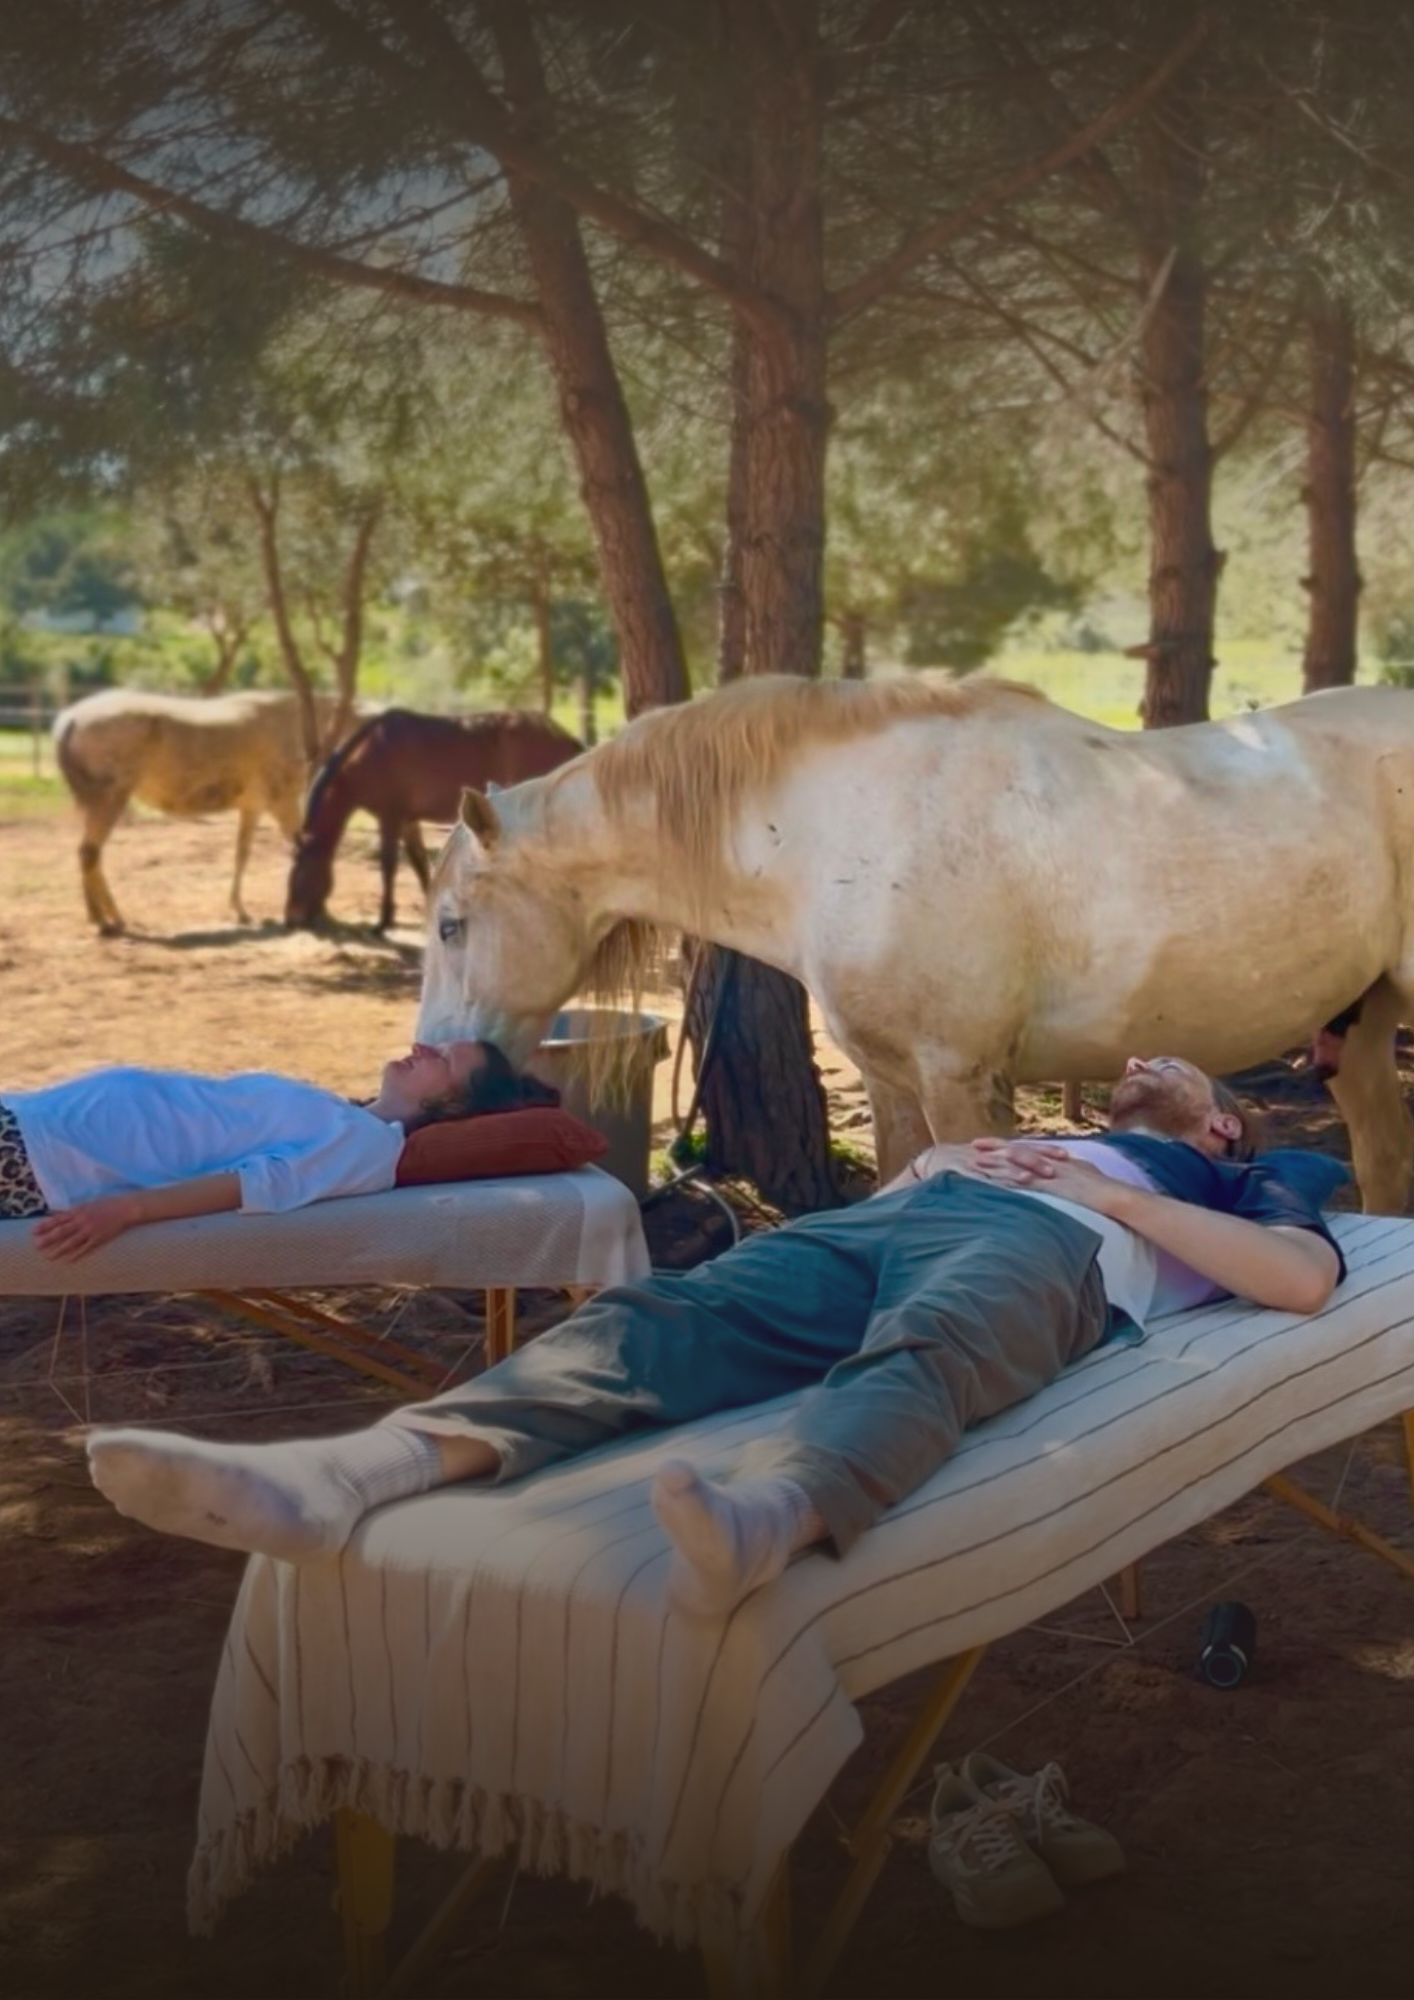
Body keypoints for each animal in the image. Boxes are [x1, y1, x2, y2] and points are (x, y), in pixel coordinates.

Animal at [53, 687, 352, 933]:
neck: (297, 720)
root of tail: (71, 719)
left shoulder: (252, 807)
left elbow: (241, 855)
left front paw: (240, 911)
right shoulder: (284, 804)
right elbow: (299, 849)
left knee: (91, 855)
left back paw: (105, 918)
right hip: (110, 798)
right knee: (89, 853)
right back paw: (107, 920)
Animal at [284, 707, 584, 932]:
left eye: (299, 874)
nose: (291, 920)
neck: (371, 753)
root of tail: (563, 735)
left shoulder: (390, 818)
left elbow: (388, 866)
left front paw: (383, 922)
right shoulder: (408, 821)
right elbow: (419, 863)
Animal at [415, 673, 1414, 1216]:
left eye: (451, 924)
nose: (440, 1074)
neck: (840, 832)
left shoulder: (961, 1081)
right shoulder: (893, 1081)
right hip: (1358, 1029)